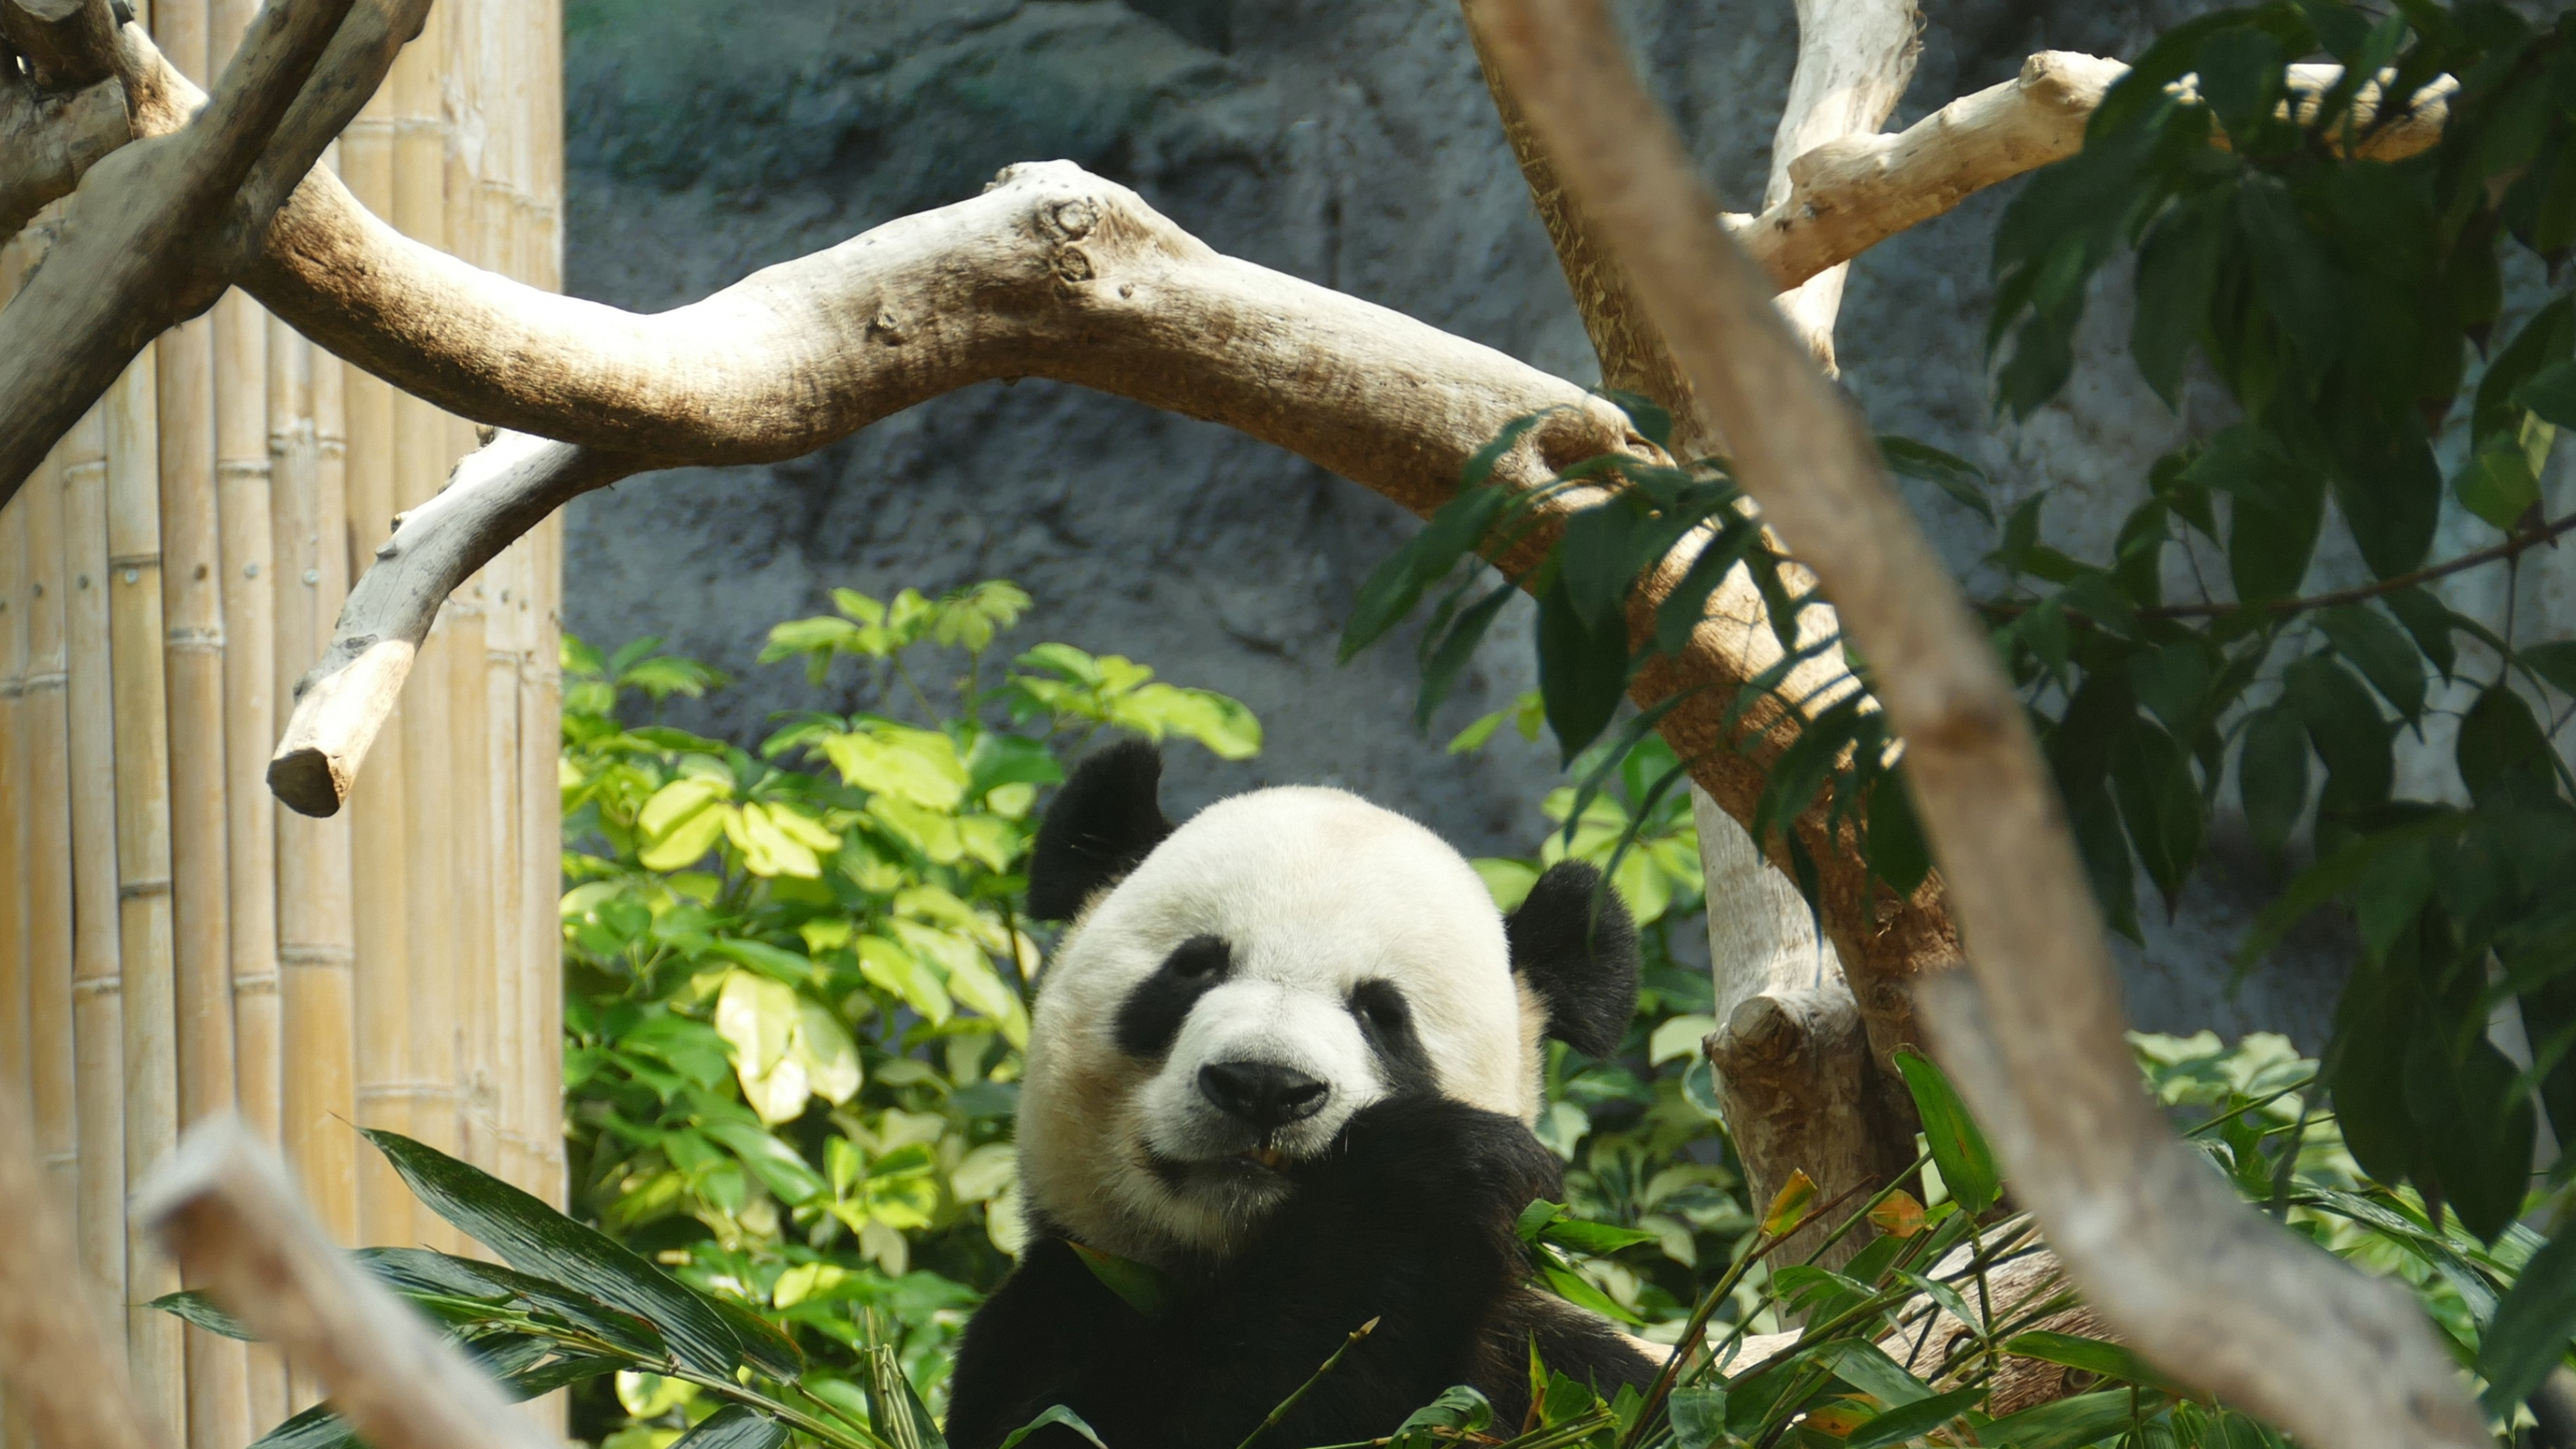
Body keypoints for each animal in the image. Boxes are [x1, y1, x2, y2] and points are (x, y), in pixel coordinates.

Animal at [943, 742, 1648, 1444]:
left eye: (1384, 1014)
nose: (1264, 1086)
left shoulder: (1558, 1358)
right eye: (1195, 967)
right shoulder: (1059, 1303)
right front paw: (1429, 1177)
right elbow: (1115, 1416)